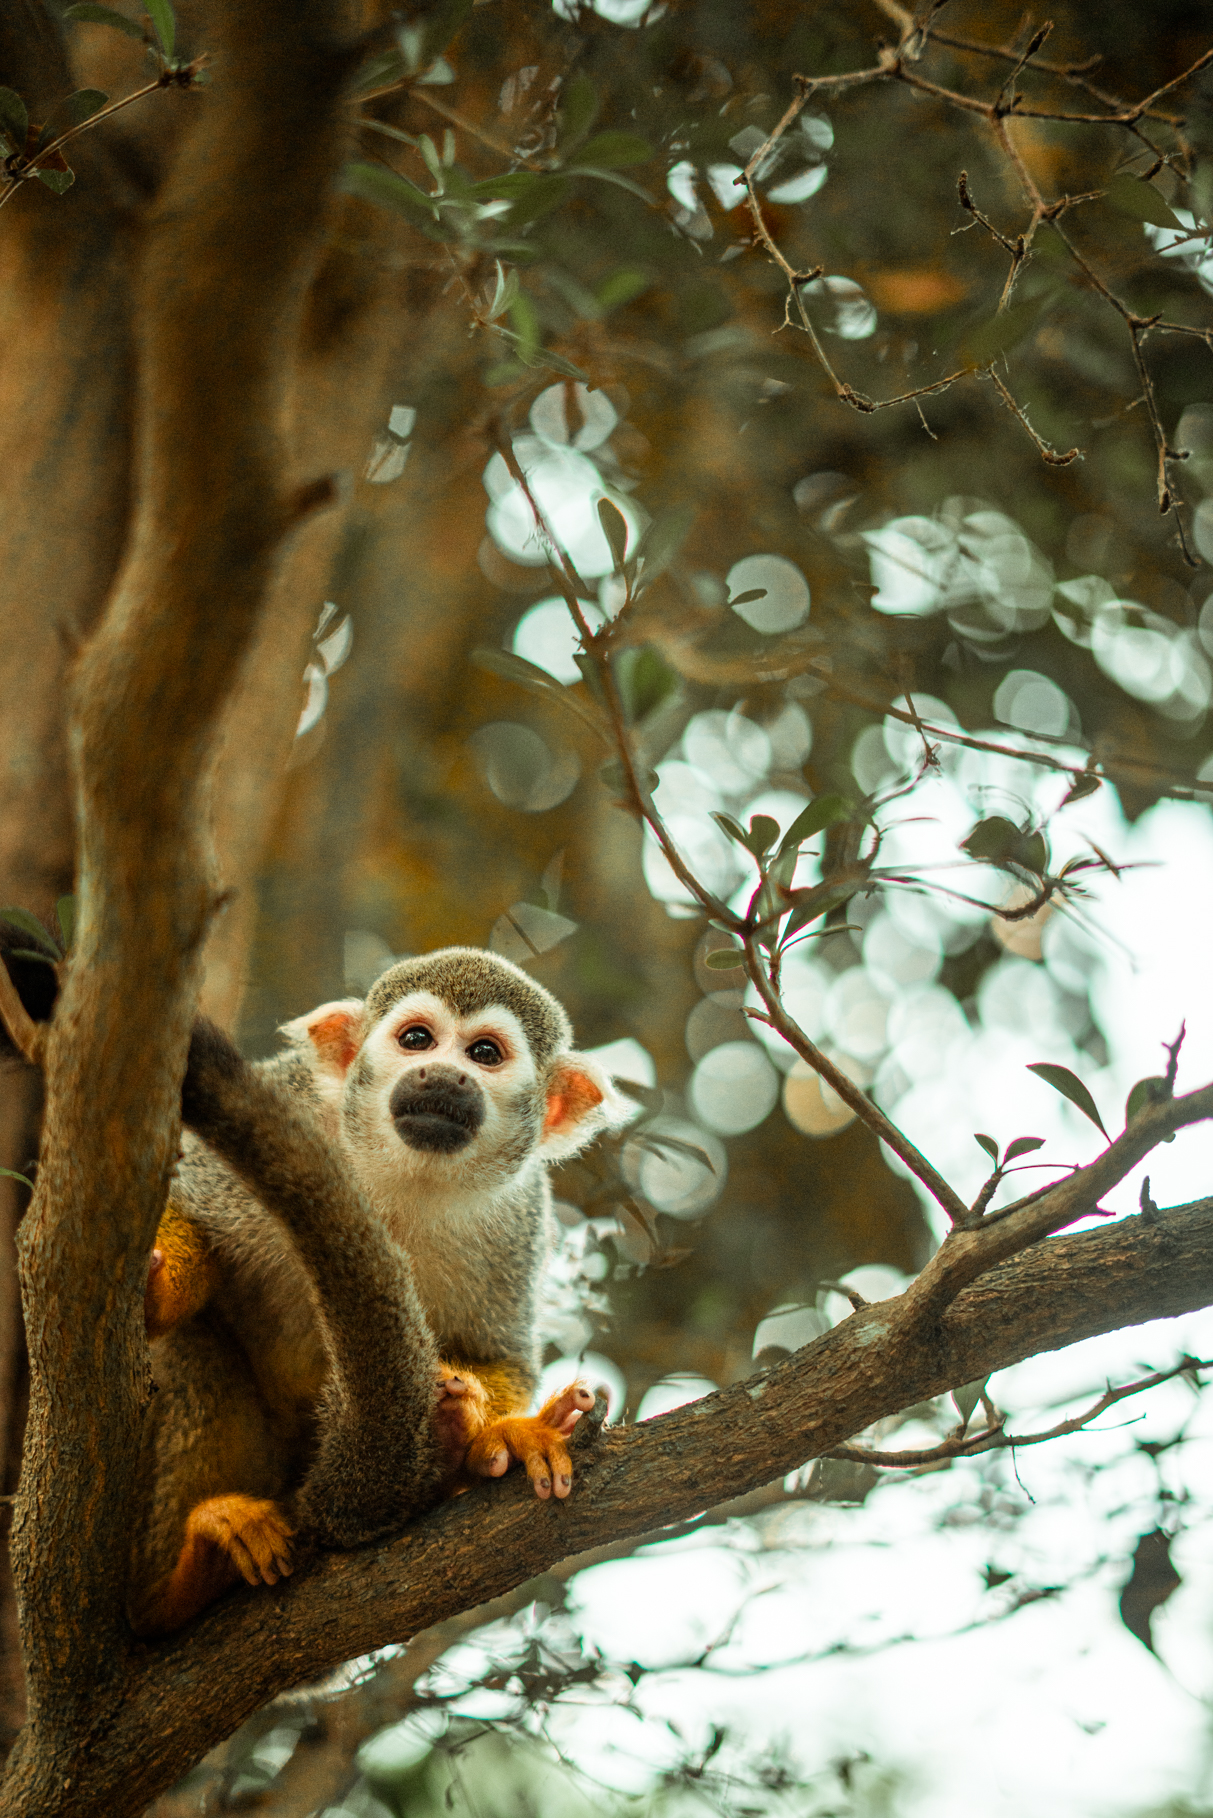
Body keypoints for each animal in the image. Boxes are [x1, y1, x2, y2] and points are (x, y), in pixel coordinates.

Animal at [0, 930, 630, 1636]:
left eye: (485, 1054)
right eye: (417, 1039)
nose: (444, 1076)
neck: (399, 1181)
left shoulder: (518, 1218)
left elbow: (499, 1355)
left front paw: (490, 1433)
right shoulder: (291, 1100)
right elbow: (173, 1200)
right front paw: (160, 1291)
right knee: (193, 1350)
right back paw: (175, 1584)